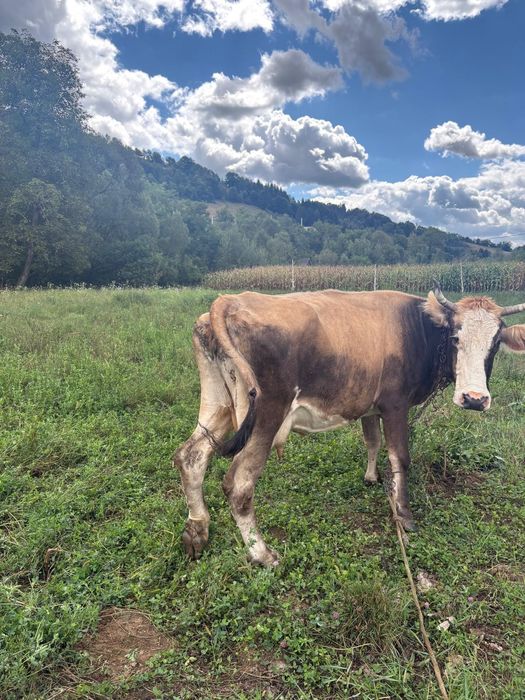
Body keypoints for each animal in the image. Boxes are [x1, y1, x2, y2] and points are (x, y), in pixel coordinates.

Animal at [174, 287, 525, 566]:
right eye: (455, 337)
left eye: (495, 343)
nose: (475, 399)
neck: (418, 330)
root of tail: (230, 301)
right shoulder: (395, 405)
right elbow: (400, 457)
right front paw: (404, 516)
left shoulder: (371, 405)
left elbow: (372, 441)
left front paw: (372, 477)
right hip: (266, 415)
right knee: (239, 484)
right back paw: (262, 554)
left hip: (219, 404)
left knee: (191, 456)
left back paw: (197, 530)